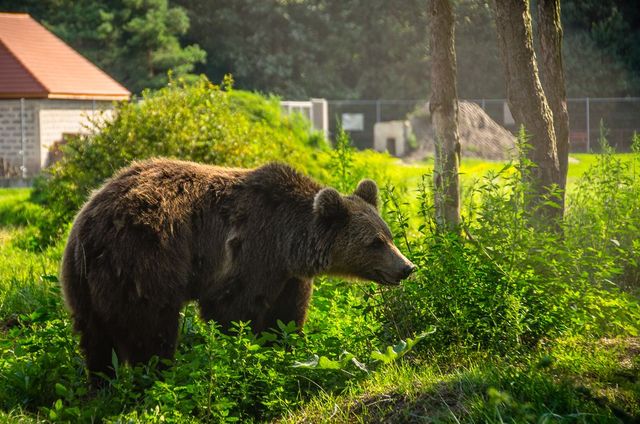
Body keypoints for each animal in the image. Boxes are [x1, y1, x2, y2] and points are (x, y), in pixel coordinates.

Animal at [60, 158, 416, 380]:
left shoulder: (286, 275)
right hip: (142, 264)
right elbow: (234, 311)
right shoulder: (250, 253)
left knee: (95, 339)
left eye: (390, 235)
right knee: (150, 329)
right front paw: (244, 354)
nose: (406, 267)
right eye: (374, 242)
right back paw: (157, 376)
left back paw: (102, 384)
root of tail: (85, 227)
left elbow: (286, 315)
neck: (289, 242)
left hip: (83, 287)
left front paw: (285, 349)